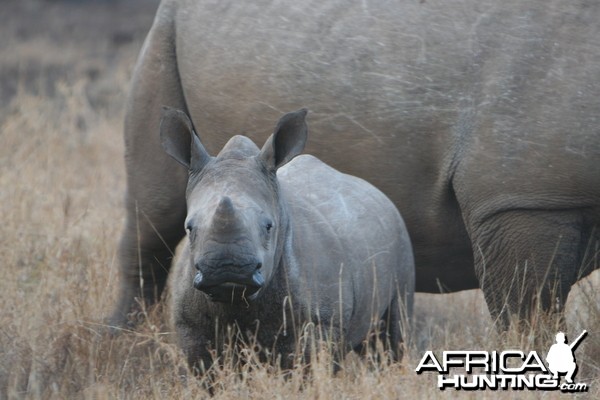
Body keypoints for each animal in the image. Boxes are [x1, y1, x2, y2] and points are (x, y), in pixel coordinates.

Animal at [163, 107, 418, 368]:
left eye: (269, 227)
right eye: (189, 228)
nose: (228, 269)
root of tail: (377, 191)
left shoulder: (321, 322)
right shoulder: (188, 324)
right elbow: (202, 367)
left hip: (399, 235)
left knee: (393, 332)